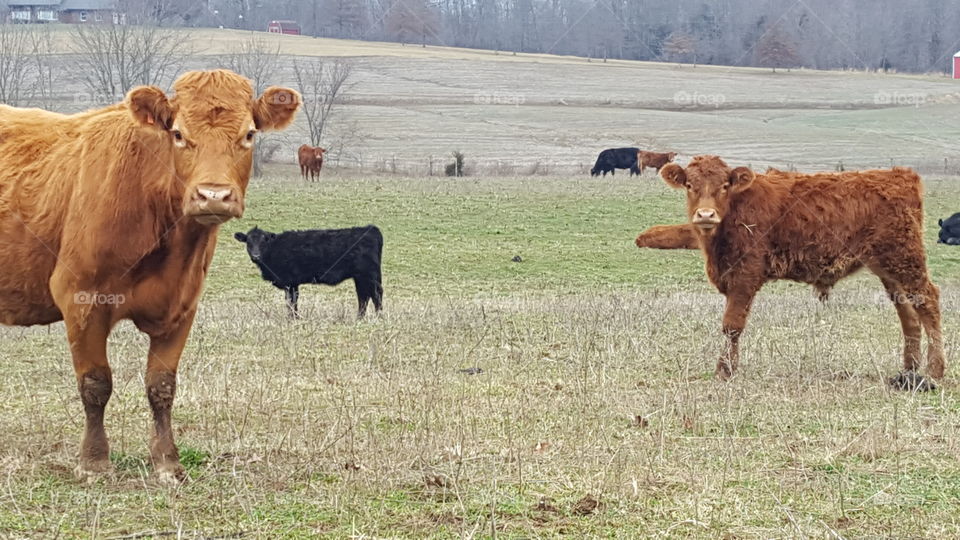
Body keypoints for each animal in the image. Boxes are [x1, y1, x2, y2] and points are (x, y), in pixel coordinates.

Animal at [0, 69, 300, 485]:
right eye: (178, 133)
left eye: (249, 134)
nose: (213, 195)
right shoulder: (80, 298)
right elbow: (96, 384)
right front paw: (94, 462)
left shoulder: (182, 307)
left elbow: (161, 387)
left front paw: (167, 461)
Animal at [234, 225, 384, 319]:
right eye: (248, 242)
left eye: (263, 242)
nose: (256, 256)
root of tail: (370, 229)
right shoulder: (293, 283)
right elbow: (293, 301)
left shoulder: (289, 281)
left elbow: (291, 301)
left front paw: (293, 318)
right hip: (361, 277)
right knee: (364, 296)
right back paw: (360, 318)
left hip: (368, 275)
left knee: (375, 295)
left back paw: (379, 317)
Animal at [655, 155, 944, 386]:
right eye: (690, 185)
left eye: (724, 186)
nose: (705, 215)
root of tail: (899, 174)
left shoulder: (745, 276)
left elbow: (732, 326)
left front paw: (724, 371)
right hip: (889, 269)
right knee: (908, 314)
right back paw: (908, 371)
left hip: (906, 260)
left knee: (928, 301)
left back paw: (935, 371)